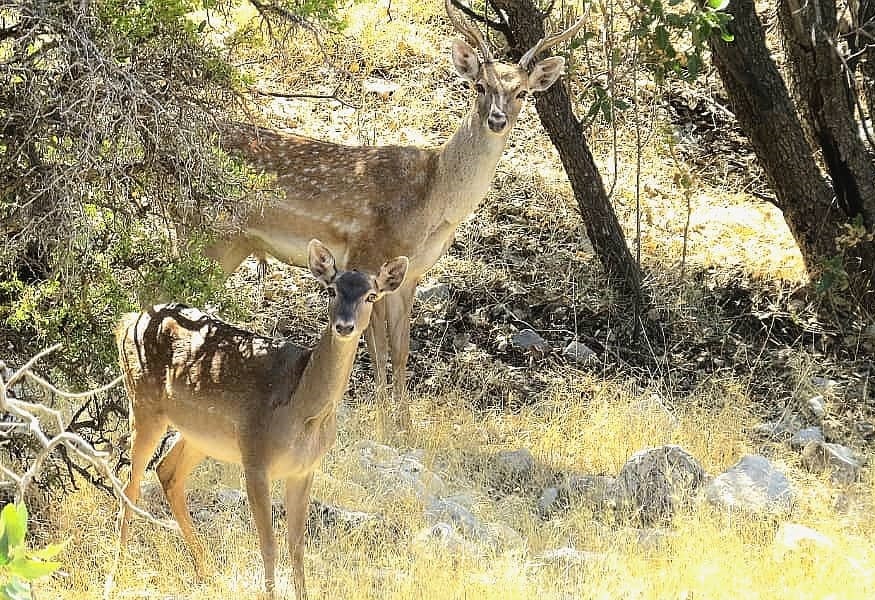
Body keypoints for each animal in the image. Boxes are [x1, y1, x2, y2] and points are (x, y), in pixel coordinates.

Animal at [209, 0, 584, 436]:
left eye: (521, 92)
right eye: (479, 86)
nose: (497, 119)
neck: (433, 203)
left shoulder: (412, 274)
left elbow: (402, 349)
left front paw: (405, 424)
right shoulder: (368, 253)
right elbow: (378, 349)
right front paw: (382, 422)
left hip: (234, 242)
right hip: (210, 230)